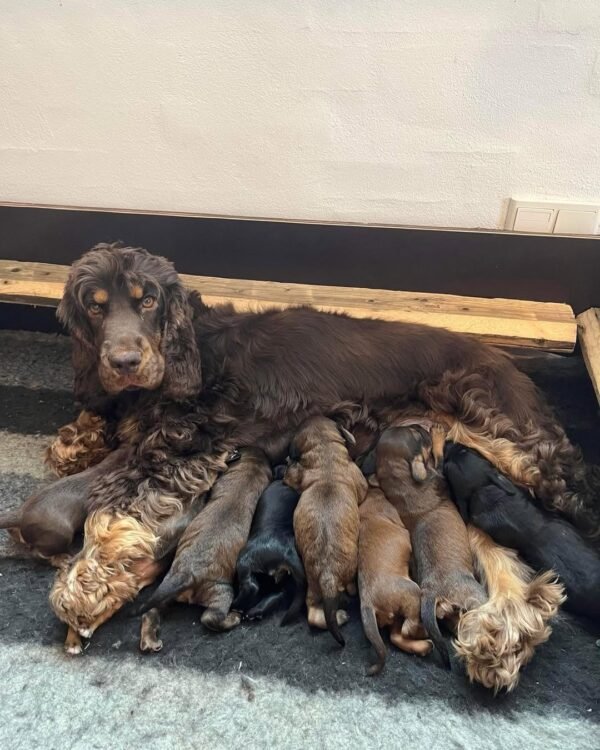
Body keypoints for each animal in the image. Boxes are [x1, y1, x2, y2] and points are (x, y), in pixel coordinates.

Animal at [136, 446, 272, 640]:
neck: (250, 470)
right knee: (211, 617)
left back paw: (150, 640)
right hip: (219, 590)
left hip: (164, 595)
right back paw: (233, 617)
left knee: (151, 612)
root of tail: (184, 577)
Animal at [230, 476, 304, 624]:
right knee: (276, 596)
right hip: (282, 583)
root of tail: (287, 552)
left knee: (251, 586)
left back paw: (237, 606)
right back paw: (253, 613)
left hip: (244, 561)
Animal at [284, 418, 368, 648]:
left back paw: (338, 617)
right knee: (348, 589)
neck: (325, 452)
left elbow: (290, 475)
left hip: (312, 585)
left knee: (313, 613)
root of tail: (327, 575)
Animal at [358, 484, 434, 680]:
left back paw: (422, 646)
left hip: (395, 615)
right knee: (408, 628)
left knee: (396, 636)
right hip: (412, 592)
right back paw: (423, 634)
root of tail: (368, 603)